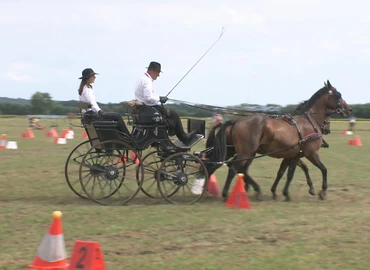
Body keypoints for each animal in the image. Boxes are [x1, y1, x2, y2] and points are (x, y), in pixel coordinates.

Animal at [207, 80, 352, 200]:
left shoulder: (293, 155)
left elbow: (286, 173)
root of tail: (236, 121)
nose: (349, 109)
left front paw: (281, 192)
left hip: (243, 152)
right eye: (338, 95)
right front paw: (323, 191)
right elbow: (323, 169)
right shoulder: (311, 153)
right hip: (246, 152)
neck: (309, 122)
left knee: (232, 167)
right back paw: (227, 193)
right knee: (233, 168)